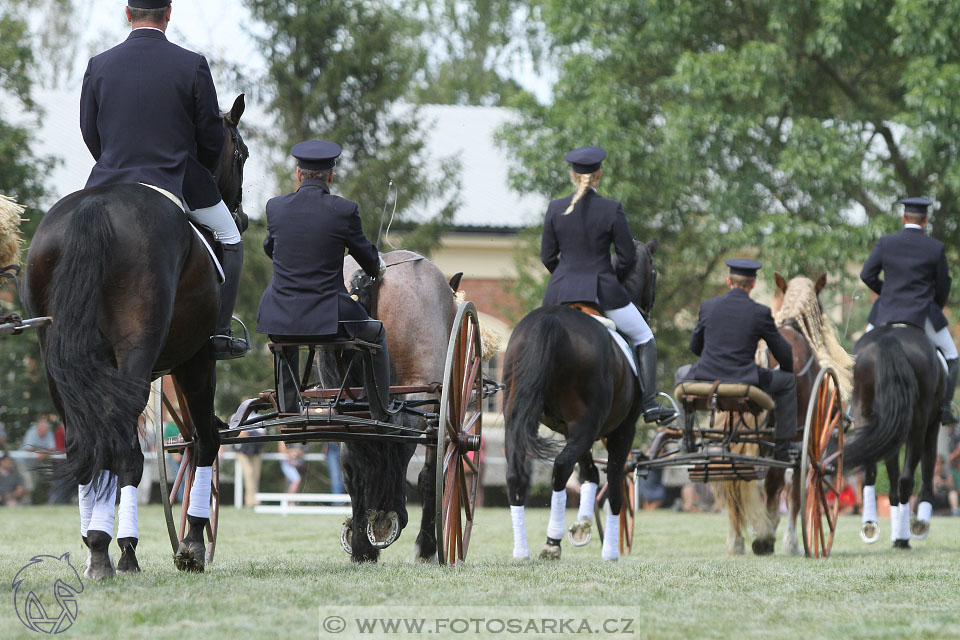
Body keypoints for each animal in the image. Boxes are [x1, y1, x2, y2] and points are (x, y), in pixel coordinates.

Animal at [23, 95, 249, 580]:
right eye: (239, 153)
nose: (239, 215)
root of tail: (95, 208)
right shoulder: (197, 361)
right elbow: (206, 439)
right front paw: (192, 543)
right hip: (140, 353)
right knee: (126, 452)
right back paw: (118, 549)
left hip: (56, 358)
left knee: (85, 440)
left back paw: (96, 544)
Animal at [502, 239, 660, 560]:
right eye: (654, 273)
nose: (649, 310)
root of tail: (552, 320)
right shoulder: (622, 431)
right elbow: (614, 484)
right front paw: (609, 548)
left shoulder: (574, 429)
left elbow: (589, 473)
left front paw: (583, 524)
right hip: (588, 423)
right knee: (562, 467)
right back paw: (552, 541)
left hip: (519, 416)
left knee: (516, 473)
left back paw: (522, 549)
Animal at [844, 324, 940, 552]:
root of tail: (889, 338)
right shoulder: (933, 424)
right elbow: (928, 466)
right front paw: (918, 525)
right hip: (919, 423)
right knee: (907, 479)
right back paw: (905, 537)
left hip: (865, 412)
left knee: (870, 472)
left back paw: (870, 526)